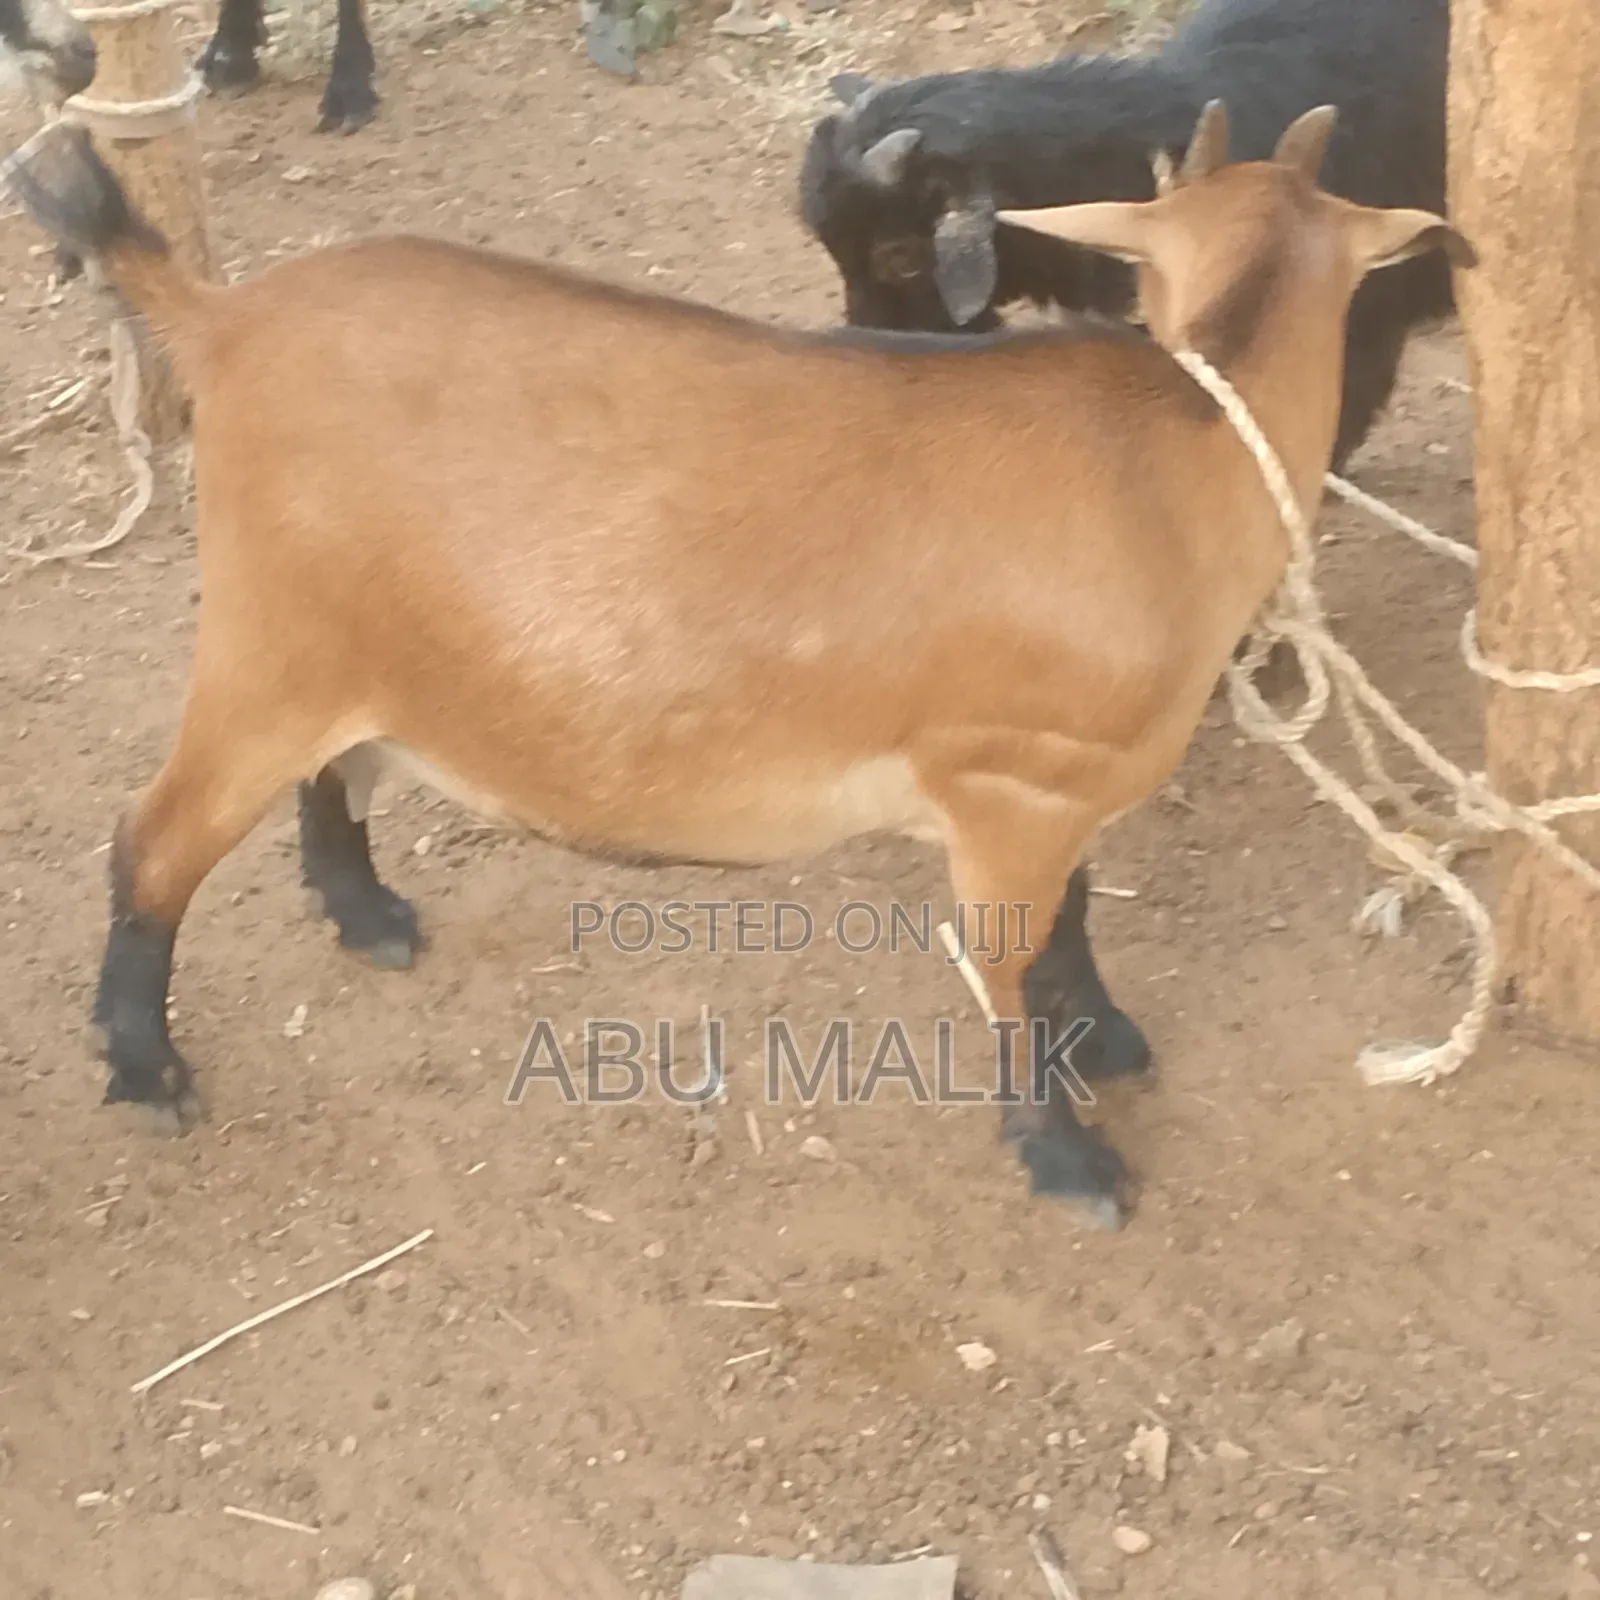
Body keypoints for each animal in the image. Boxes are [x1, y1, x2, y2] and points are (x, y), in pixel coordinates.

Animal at [2, 106, 1473, 1230]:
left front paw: (1104, 1036)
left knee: (333, 771)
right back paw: (148, 1067)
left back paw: (365, 915)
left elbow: (1074, 918)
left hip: (347, 645)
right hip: (265, 643)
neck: (1181, 457)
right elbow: (1009, 962)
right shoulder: (1003, 789)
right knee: (152, 840)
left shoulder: (1063, 785)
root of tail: (219, 319)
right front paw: (1067, 1156)